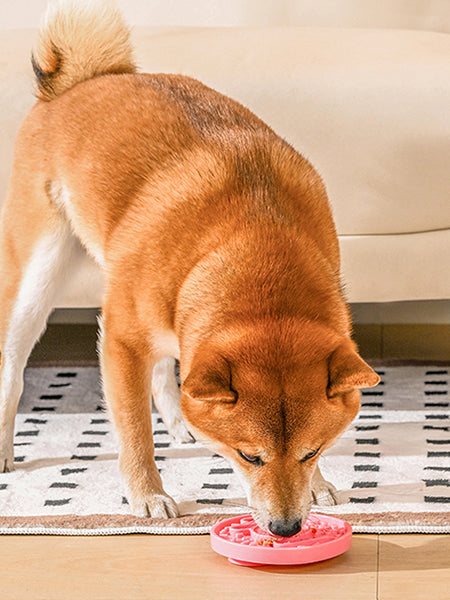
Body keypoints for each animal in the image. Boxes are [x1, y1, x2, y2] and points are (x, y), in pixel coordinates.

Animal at [0, 0, 380, 536]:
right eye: (248, 456)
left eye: (312, 451)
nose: (286, 529)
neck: (256, 239)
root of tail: (80, 82)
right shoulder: (120, 340)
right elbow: (133, 427)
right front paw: (148, 496)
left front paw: (320, 485)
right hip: (37, 275)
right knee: (13, 367)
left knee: (166, 370)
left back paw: (181, 423)